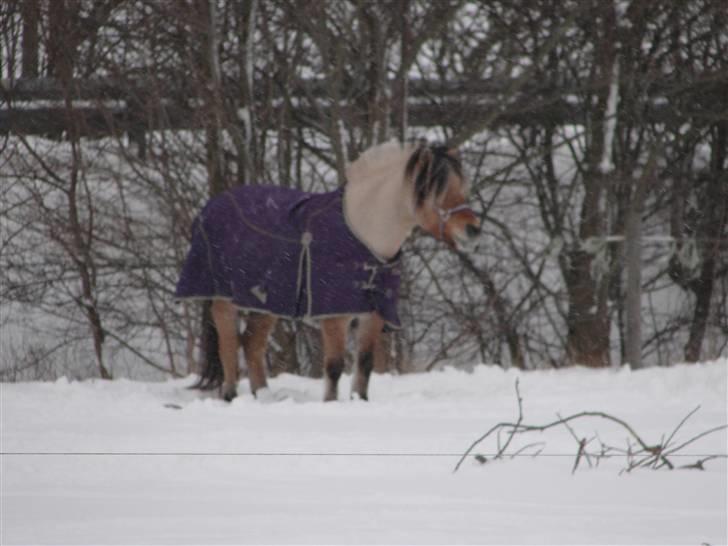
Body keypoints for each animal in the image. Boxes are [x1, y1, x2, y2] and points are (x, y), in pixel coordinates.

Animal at [176, 139, 480, 400]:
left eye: (462, 185)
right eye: (437, 189)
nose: (473, 230)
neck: (362, 234)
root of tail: (212, 205)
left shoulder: (373, 314)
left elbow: (365, 364)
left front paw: (360, 401)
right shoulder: (335, 314)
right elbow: (334, 366)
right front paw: (331, 404)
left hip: (266, 301)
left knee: (252, 343)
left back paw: (263, 396)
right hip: (224, 298)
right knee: (228, 342)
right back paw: (231, 395)